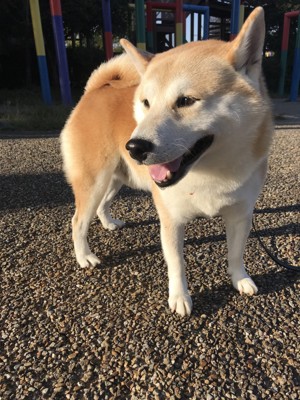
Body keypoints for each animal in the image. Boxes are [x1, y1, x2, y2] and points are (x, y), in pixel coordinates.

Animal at [61, 7, 274, 316]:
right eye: (146, 103)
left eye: (186, 100)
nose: (135, 146)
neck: (210, 172)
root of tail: (95, 90)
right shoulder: (171, 219)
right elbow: (177, 265)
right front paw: (180, 298)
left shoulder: (241, 214)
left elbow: (236, 253)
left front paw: (240, 279)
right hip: (94, 181)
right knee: (78, 221)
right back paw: (85, 256)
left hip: (116, 180)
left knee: (101, 206)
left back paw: (109, 223)